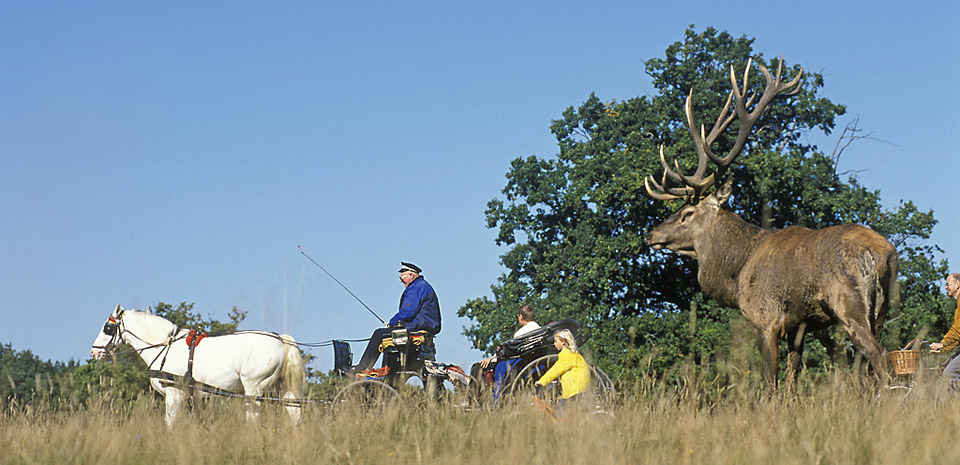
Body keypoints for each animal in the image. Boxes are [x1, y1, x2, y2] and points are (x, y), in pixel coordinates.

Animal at [89, 302, 302, 426]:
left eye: (108, 328)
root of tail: (280, 338)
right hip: (282, 388)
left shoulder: (175, 393)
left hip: (253, 388)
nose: (94, 351)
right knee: (294, 413)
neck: (165, 346)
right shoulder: (191, 398)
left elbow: (170, 424)